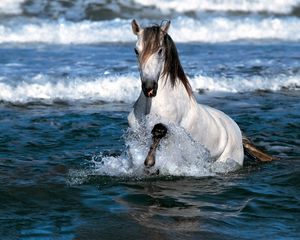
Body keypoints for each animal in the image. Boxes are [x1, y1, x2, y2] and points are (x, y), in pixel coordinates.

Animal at [127, 19, 276, 172]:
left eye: (160, 50)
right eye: (136, 50)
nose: (149, 88)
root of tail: (238, 133)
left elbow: (159, 130)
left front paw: (150, 162)